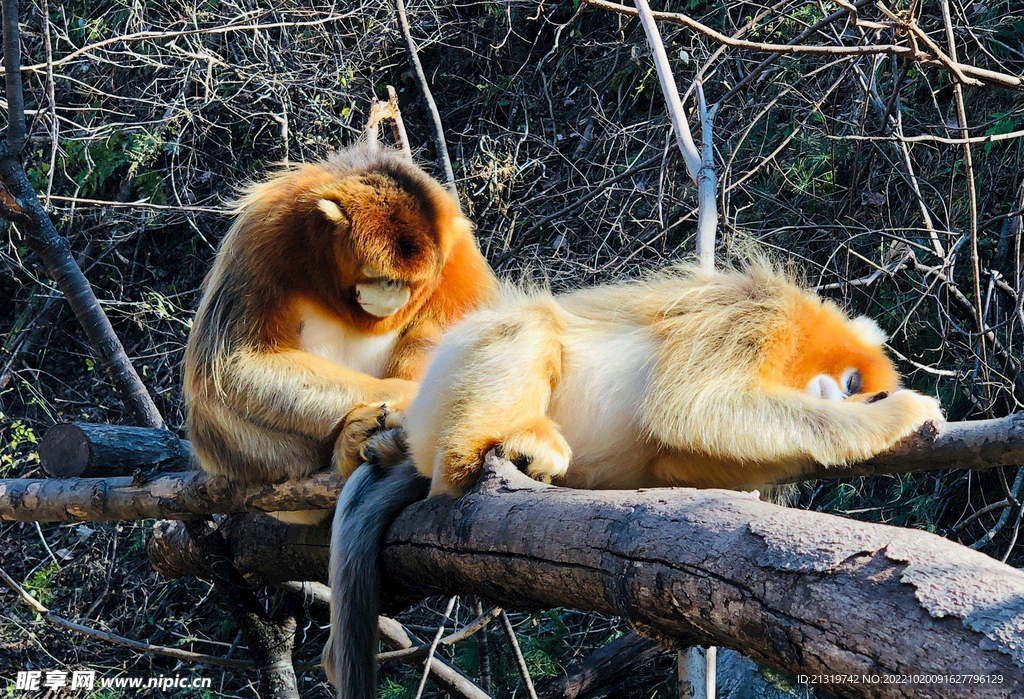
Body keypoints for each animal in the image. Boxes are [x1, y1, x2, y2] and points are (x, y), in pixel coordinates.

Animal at [183, 145, 495, 521]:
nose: (392, 290)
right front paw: (403, 398)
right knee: (212, 408)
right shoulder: (263, 235)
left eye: (409, 282)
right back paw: (350, 445)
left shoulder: (460, 258)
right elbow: (236, 365)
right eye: (378, 275)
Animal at [323, 260, 937, 695]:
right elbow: (690, 405)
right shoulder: (753, 315)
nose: (849, 396)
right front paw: (894, 415)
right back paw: (481, 453)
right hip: (444, 393)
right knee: (533, 325)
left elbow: (686, 446)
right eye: (854, 382)